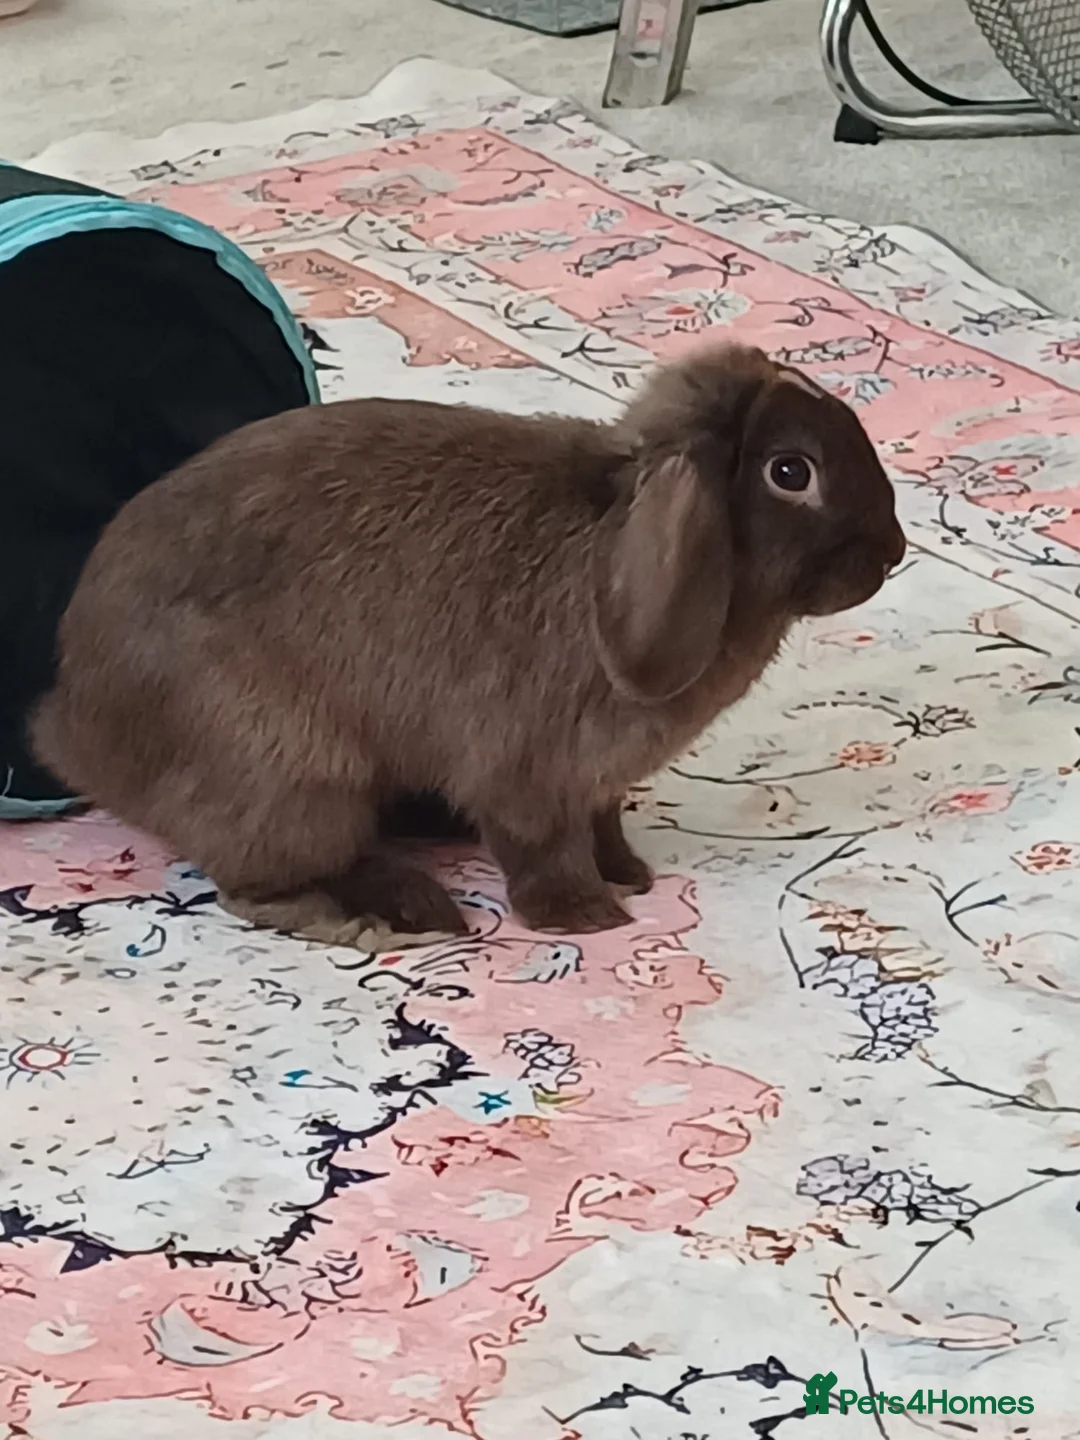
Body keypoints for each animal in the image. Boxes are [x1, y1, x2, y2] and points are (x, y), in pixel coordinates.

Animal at [32, 341, 906, 946]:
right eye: (790, 472)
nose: (893, 553)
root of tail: (70, 729)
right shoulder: (529, 775)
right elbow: (542, 849)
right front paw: (589, 918)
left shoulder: (595, 786)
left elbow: (604, 827)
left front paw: (631, 876)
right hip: (291, 776)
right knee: (260, 882)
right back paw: (378, 918)